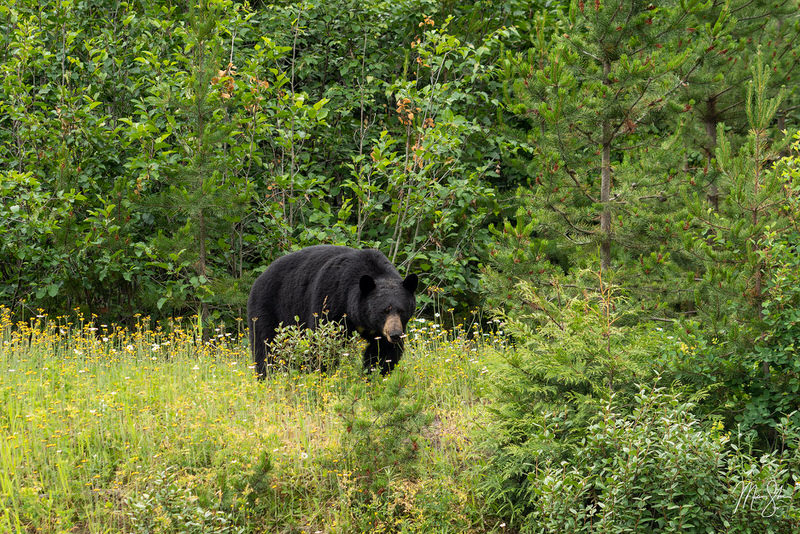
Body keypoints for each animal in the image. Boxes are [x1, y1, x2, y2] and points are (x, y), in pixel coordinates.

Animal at [245, 245, 418, 378]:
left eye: (401, 310)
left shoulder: (381, 331)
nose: (395, 334)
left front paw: (374, 376)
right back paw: (267, 377)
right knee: (266, 347)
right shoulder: (331, 298)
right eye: (384, 311)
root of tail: (258, 279)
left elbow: (383, 352)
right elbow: (323, 342)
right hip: (268, 309)